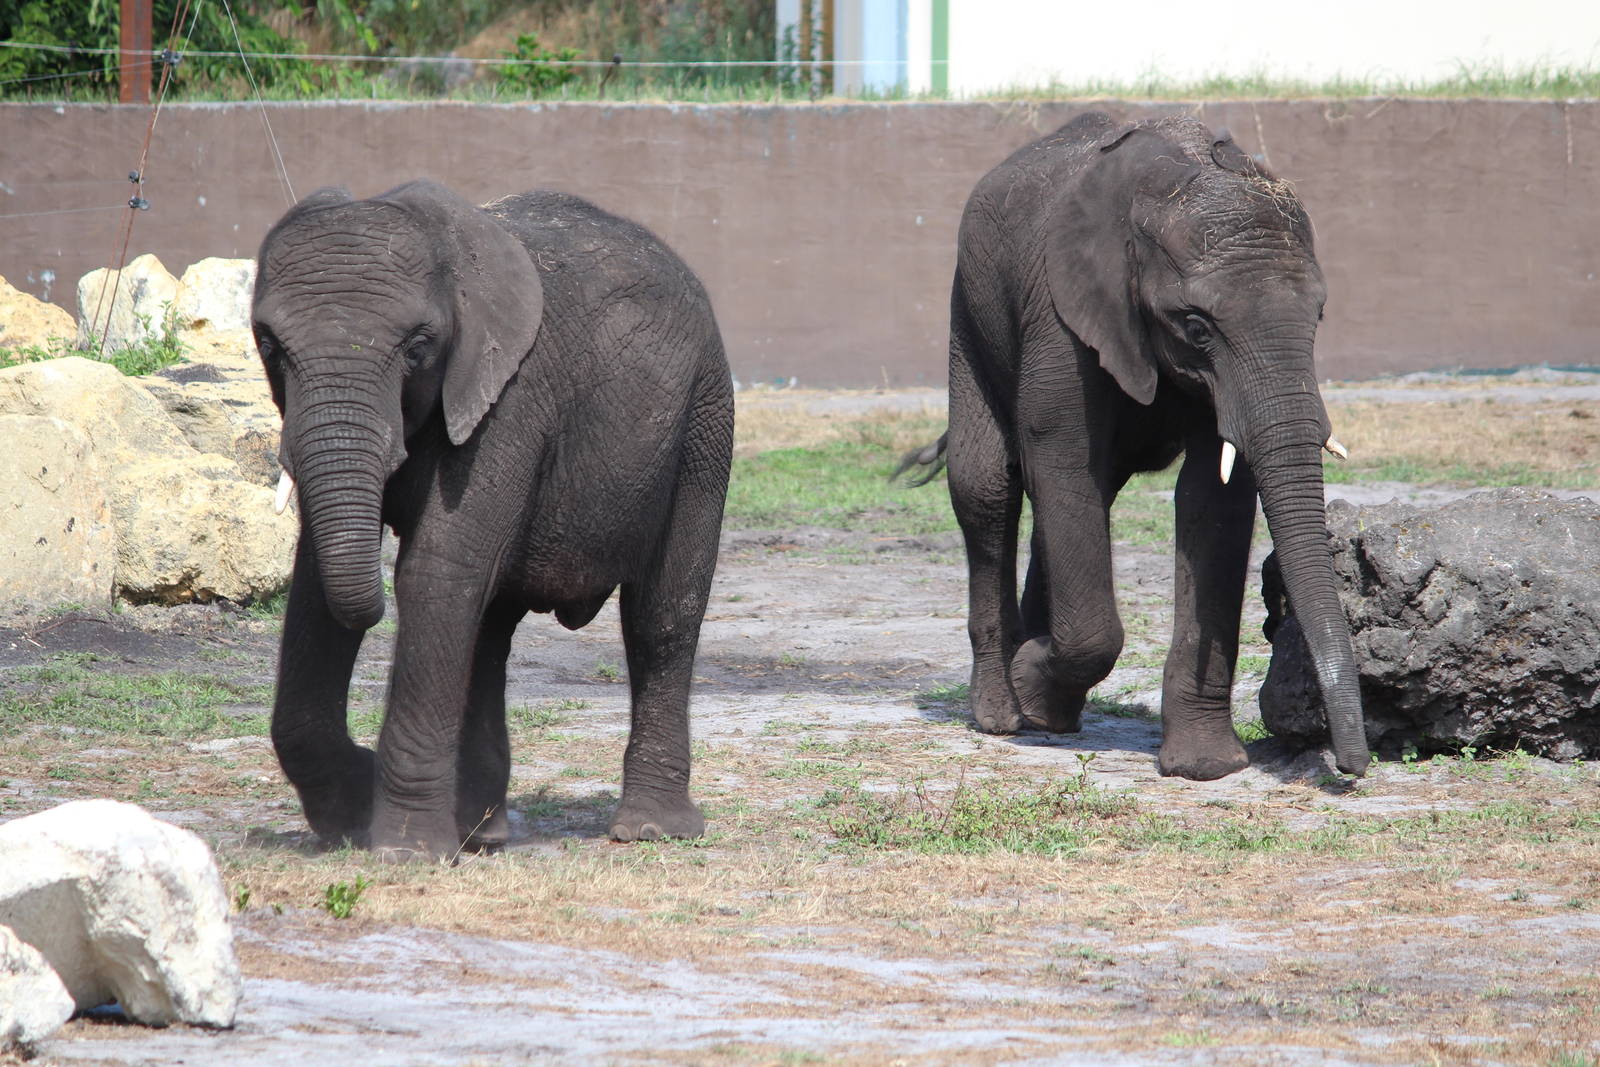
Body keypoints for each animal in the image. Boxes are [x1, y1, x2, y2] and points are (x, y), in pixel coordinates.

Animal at [251, 180, 733, 859]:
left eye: (418, 347)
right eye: (270, 347)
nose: (365, 761)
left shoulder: (511, 395)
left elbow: (435, 572)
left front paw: (405, 852)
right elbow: (319, 583)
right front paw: (350, 816)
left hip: (705, 415)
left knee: (662, 616)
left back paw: (651, 832)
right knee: (488, 628)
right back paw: (481, 836)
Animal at [901, 112, 1369, 779]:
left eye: (1320, 317)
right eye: (1196, 327)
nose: (1351, 767)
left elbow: (1211, 497)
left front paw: (1205, 768)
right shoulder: (1061, 314)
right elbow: (1060, 458)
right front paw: (1031, 682)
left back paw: (1048, 713)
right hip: (969, 306)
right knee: (989, 486)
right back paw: (1006, 714)